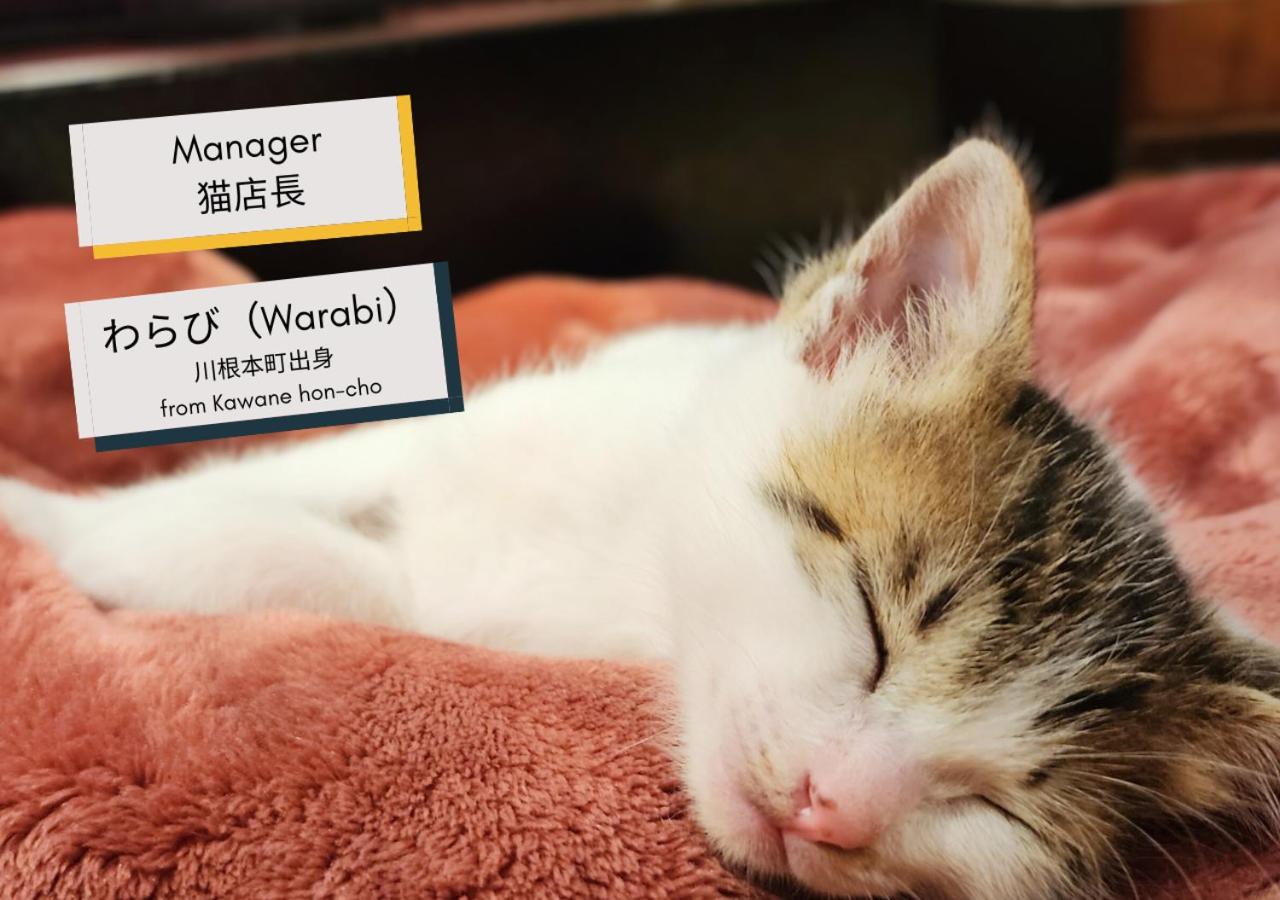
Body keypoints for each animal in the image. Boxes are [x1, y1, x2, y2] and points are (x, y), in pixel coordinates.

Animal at [4, 139, 1280, 900]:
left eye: (995, 804)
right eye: (871, 622)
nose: (831, 806)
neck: (629, 568)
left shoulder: (428, 599)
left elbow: (298, 563)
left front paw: (56, 526)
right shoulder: (442, 438)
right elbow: (302, 476)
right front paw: (44, 499)